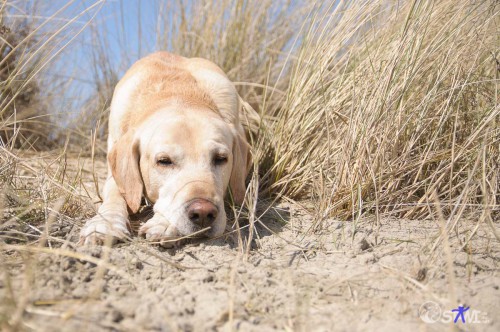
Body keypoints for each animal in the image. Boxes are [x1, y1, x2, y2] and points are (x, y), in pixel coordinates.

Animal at [80, 51, 256, 244]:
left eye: (221, 159)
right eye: (164, 161)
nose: (203, 213)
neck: (179, 92)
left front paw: (163, 223)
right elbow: (115, 193)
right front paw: (105, 224)